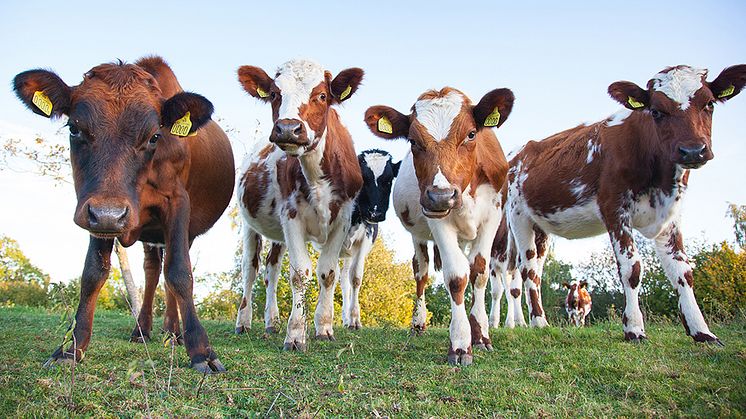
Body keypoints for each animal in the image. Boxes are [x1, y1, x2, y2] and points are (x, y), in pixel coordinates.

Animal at [13, 56, 234, 374]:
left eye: (154, 136)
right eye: (74, 129)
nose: (109, 214)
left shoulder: (178, 203)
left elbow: (180, 272)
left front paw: (201, 350)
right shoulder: (96, 211)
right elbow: (93, 273)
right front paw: (72, 346)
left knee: (168, 269)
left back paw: (173, 333)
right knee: (152, 270)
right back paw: (144, 330)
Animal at [232, 57, 360, 350]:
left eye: (322, 95)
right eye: (274, 94)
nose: (288, 128)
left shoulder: (343, 217)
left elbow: (328, 272)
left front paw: (324, 327)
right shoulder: (291, 216)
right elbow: (300, 273)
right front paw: (295, 334)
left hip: (277, 234)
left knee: (271, 268)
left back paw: (271, 322)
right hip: (249, 225)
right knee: (250, 270)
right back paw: (244, 322)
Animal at [364, 87, 516, 366]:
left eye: (471, 134)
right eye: (413, 141)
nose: (441, 196)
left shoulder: (492, 217)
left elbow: (479, 272)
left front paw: (480, 335)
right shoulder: (437, 218)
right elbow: (456, 277)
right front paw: (460, 344)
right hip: (418, 234)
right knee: (421, 271)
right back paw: (418, 323)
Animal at [506, 63, 744, 344]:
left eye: (709, 104)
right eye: (656, 111)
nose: (693, 150)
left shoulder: (671, 214)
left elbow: (682, 270)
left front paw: (701, 330)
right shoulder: (614, 208)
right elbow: (632, 268)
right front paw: (634, 328)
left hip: (541, 226)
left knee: (537, 271)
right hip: (519, 217)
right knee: (528, 269)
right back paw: (538, 322)